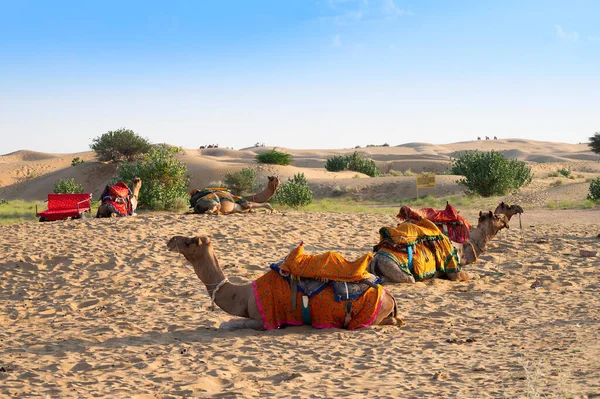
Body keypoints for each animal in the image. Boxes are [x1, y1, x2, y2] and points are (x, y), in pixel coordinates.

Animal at [168, 234, 404, 332]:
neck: (244, 295)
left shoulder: (263, 320)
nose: (170, 240)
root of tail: (390, 296)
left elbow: (227, 324)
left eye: (190, 241)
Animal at [370, 212, 510, 284]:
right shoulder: (454, 269)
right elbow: (473, 276)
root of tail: (375, 260)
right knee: (408, 279)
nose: (506, 218)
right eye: (497, 216)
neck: (462, 249)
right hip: (394, 267)